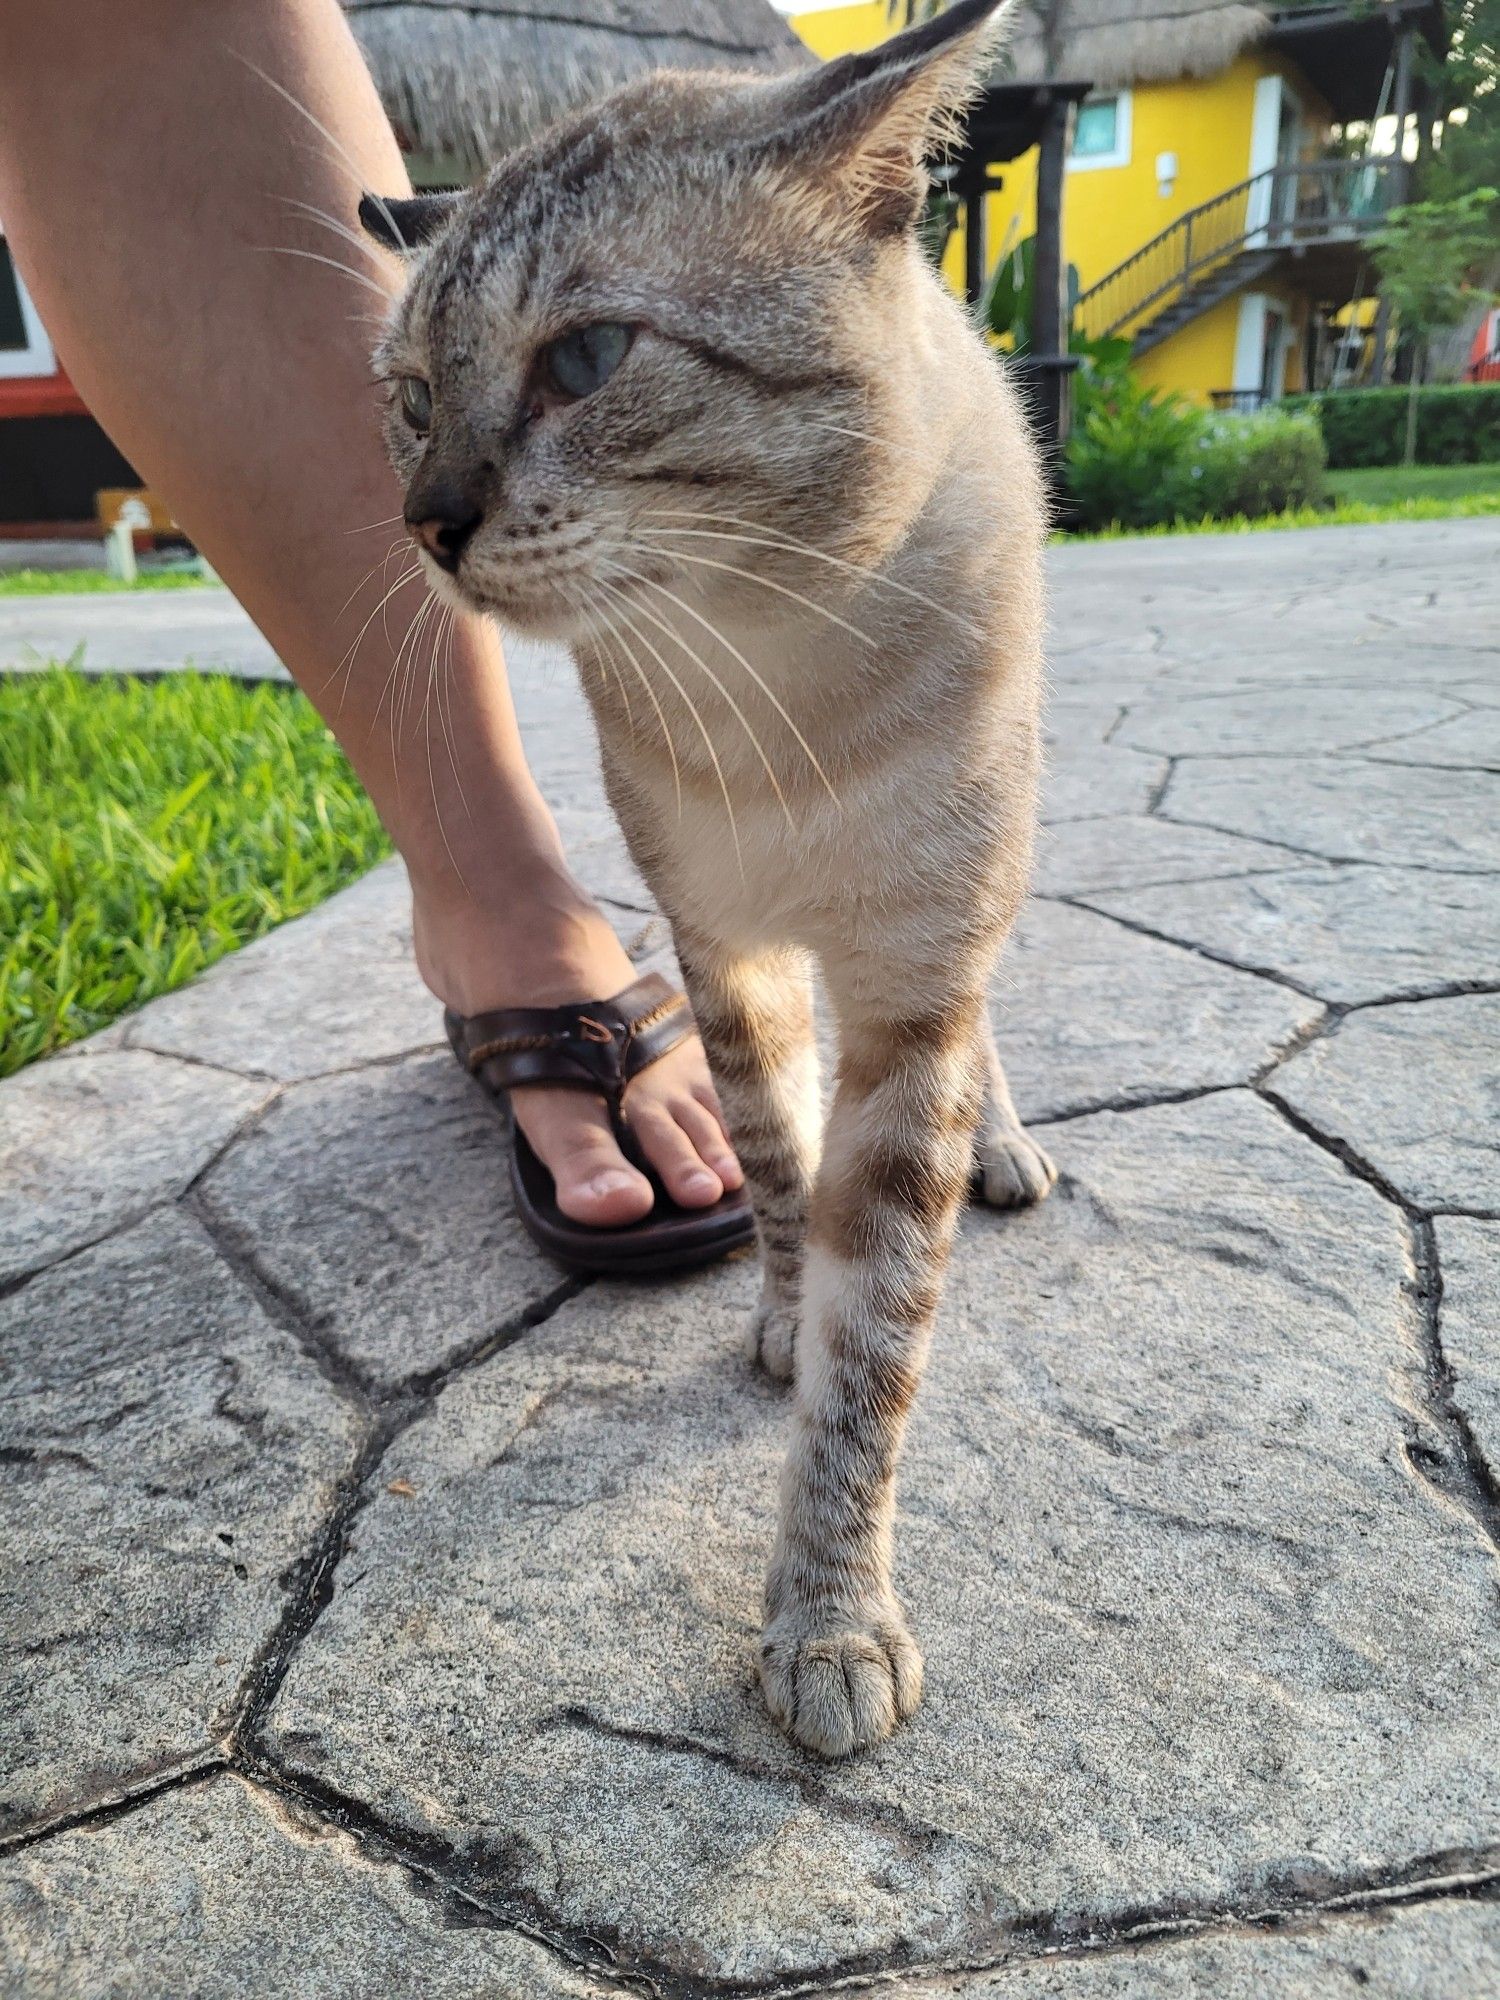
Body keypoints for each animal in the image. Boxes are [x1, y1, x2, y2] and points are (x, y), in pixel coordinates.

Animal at [360, 0, 1056, 1760]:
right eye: (410, 396)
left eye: (586, 358)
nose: (424, 523)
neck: (776, 682)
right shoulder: (722, 953)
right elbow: (775, 1176)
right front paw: (780, 1319)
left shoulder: (912, 983)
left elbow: (875, 1359)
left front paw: (831, 1631)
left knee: (995, 1030)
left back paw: (1008, 1148)